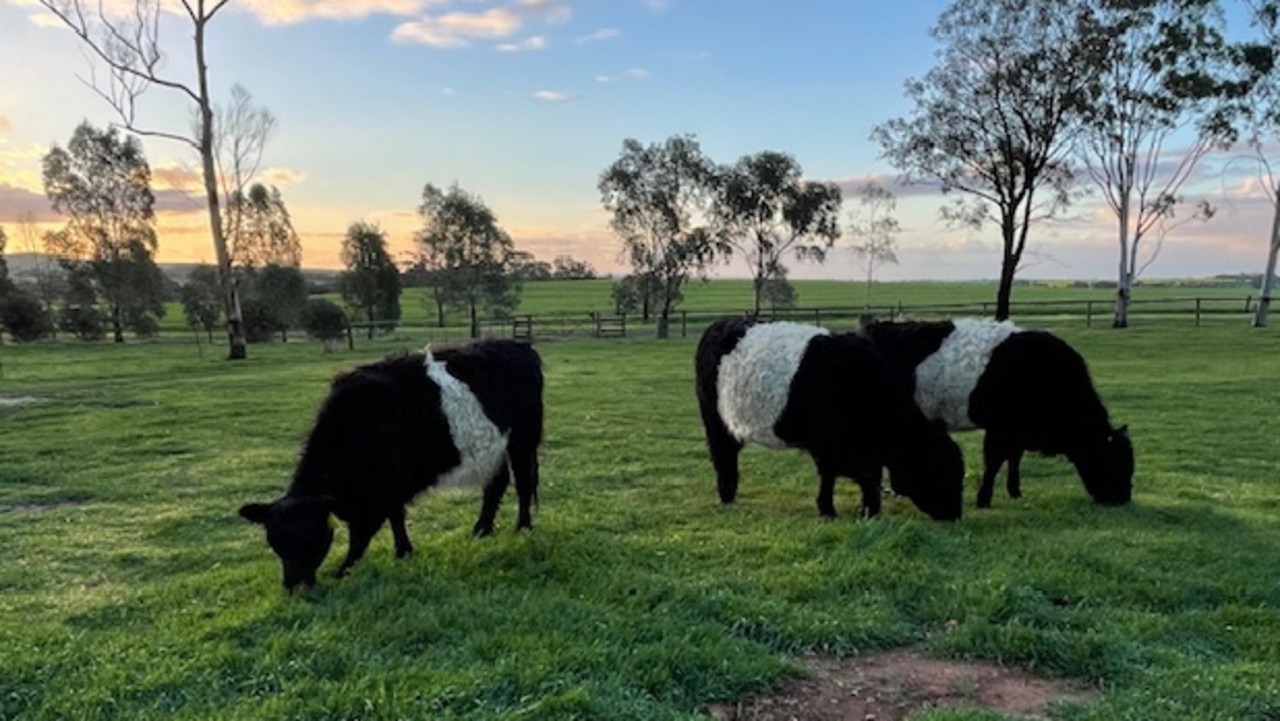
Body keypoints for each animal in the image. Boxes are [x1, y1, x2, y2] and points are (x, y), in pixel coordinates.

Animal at [239, 340, 540, 589]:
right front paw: (403, 552)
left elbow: (362, 536)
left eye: (313, 537)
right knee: (496, 485)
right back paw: (481, 530)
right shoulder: (388, 489)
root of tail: (519, 345)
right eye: (275, 544)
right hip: (492, 449)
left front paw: (343, 571)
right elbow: (396, 516)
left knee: (524, 483)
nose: (294, 586)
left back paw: (523, 528)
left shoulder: (378, 494)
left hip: (523, 440)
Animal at [701, 318, 962, 522]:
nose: (955, 515)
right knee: (723, 458)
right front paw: (835, 511)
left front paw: (868, 512)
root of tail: (721, 323)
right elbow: (842, 477)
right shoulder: (828, 446)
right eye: (940, 470)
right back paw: (726, 496)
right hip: (716, 422)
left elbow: (864, 477)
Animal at [860, 318, 1131, 509]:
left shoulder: (1016, 431)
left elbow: (1013, 459)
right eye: (1116, 465)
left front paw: (1015, 492)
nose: (1124, 500)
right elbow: (994, 461)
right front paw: (984, 499)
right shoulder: (1000, 428)